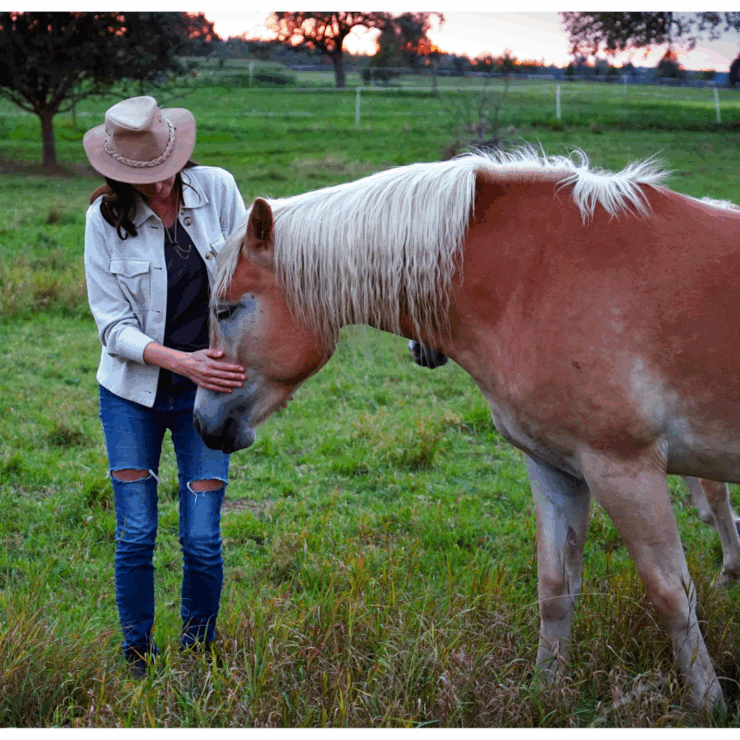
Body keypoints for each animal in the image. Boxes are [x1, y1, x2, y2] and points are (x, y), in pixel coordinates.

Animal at [193, 148, 740, 712]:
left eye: (226, 310)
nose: (203, 422)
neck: (534, 278)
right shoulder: (557, 467)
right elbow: (555, 587)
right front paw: (544, 695)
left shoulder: (624, 467)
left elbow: (671, 593)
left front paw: (708, 705)